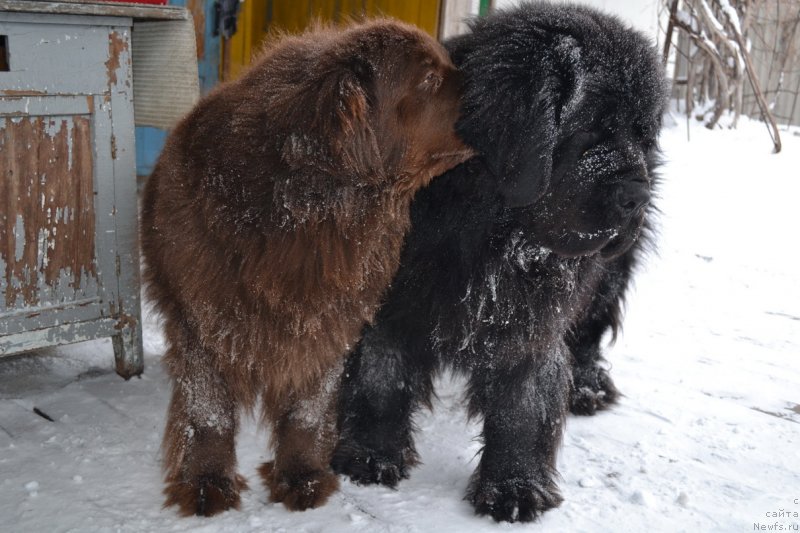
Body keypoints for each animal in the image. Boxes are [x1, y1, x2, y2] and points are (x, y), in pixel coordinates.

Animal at [141, 20, 472, 516]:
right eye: (429, 79)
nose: (489, 81)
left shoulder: (327, 321)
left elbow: (308, 410)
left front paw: (303, 476)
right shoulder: (205, 317)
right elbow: (209, 410)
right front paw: (207, 482)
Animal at [332, 2, 668, 520]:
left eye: (642, 133)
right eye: (594, 127)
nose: (639, 195)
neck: (488, 234)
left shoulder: (531, 318)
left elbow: (523, 401)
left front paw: (514, 486)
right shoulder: (393, 296)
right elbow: (379, 373)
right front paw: (370, 453)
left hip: (610, 272)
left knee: (590, 328)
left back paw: (587, 386)